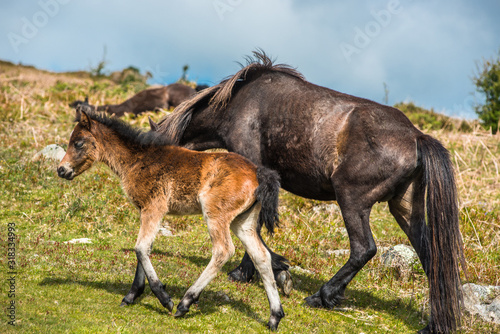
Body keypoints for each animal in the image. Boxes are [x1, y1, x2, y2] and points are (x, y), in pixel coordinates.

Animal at [56, 108, 284, 330]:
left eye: (78, 143)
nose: (61, 170)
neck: (137, 159)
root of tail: (258, 172)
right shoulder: (148, 211)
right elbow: (145, 249)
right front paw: (132, 295)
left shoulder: (154, 207)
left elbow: (140, 248)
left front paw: (163, 297)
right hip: (243, 222)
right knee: (261, 256)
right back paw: (274, 316)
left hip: (215, 214)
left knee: (223, 250)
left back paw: (186, 302)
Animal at [154, 51, 466, 332]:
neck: (238, 105)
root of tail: (416, 136)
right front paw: (265, 270)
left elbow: (253, 231)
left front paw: (261, 271)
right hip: (403, 209)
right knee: (431, 258)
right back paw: (433, 324)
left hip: (351, 200)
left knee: (363, 249)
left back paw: (322, 295)